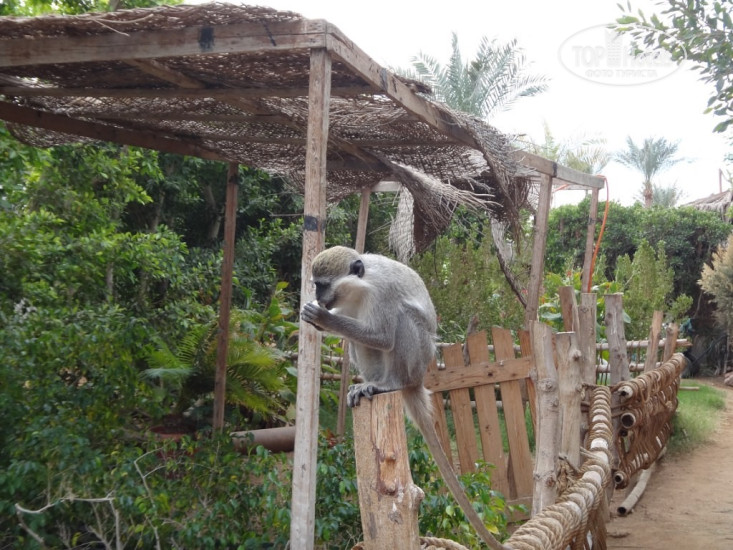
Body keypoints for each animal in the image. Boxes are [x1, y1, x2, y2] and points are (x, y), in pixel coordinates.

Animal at [301, 246, 507, 550]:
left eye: (323, 284)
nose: (318, 297)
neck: (360, 286)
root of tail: (417, 380)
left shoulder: (382, 293)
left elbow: (383, 337)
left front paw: (325, 320)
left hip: (417, 358)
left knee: (401, 319)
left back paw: (389, 384)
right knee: (356, 340)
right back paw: (372, 383)